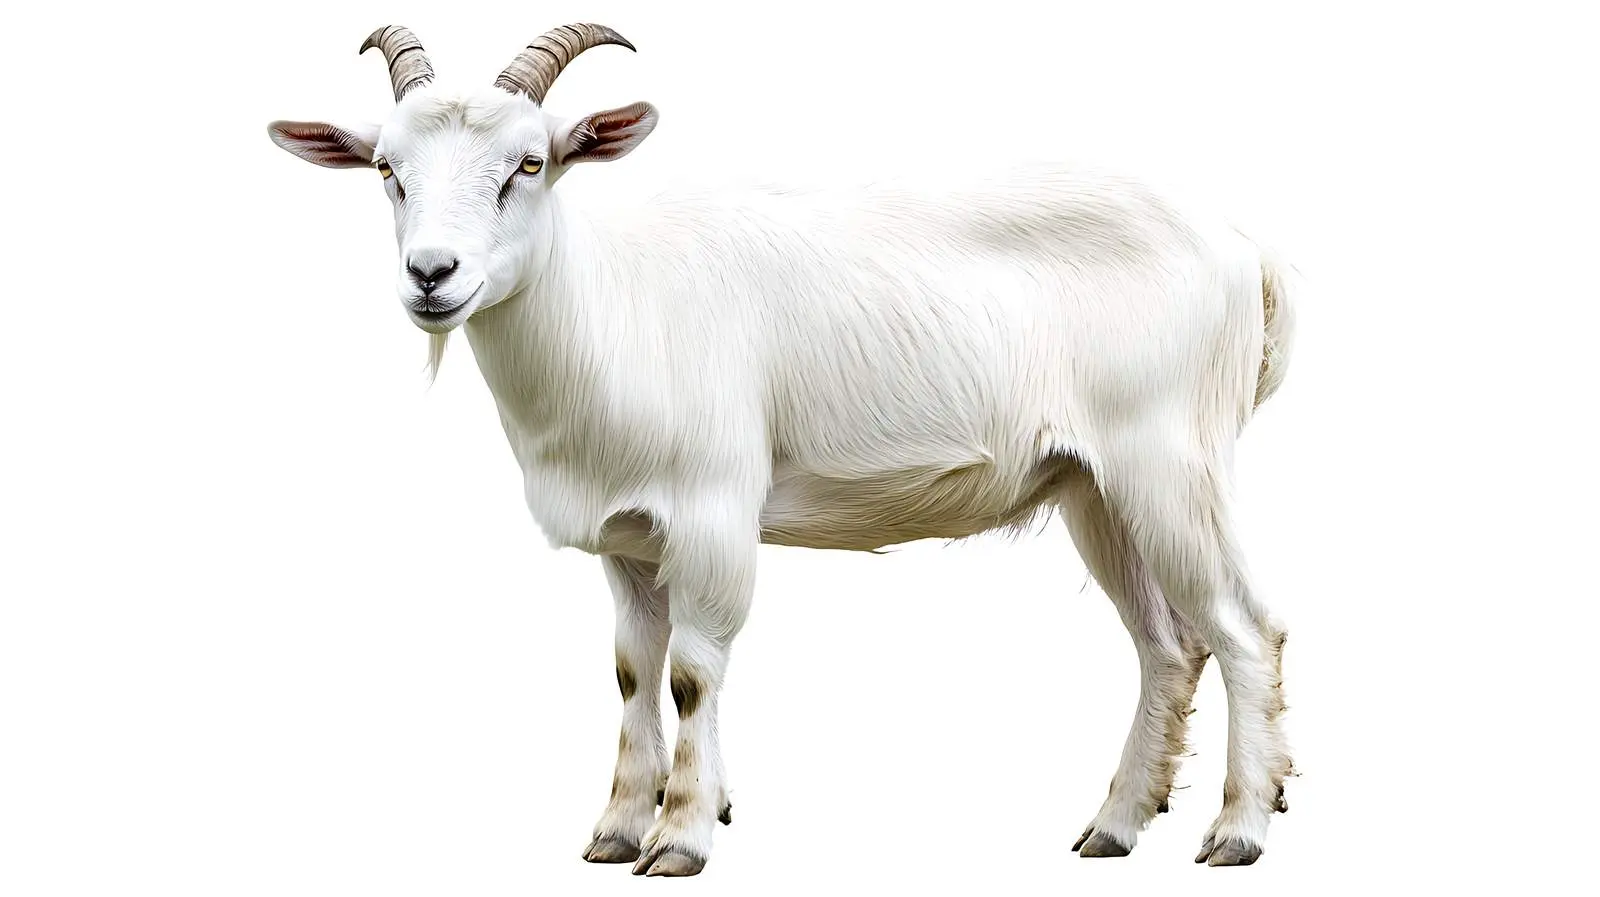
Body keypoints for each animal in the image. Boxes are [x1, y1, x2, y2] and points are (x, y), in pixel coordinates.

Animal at [268, 23, 1300, 874]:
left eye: (530, 162)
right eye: (387, 168)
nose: (431, 274)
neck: (615, 310)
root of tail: (1242, 248)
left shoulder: (714, 505)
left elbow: (695, 670)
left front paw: (680, 837)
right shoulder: (630, 539)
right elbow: (635, 671)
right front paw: (618, 829)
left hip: (1170, 455)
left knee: (1244, 628)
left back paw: (1238, 830)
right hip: (1096, 485)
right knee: (1167, 644)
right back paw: (1115, 826)